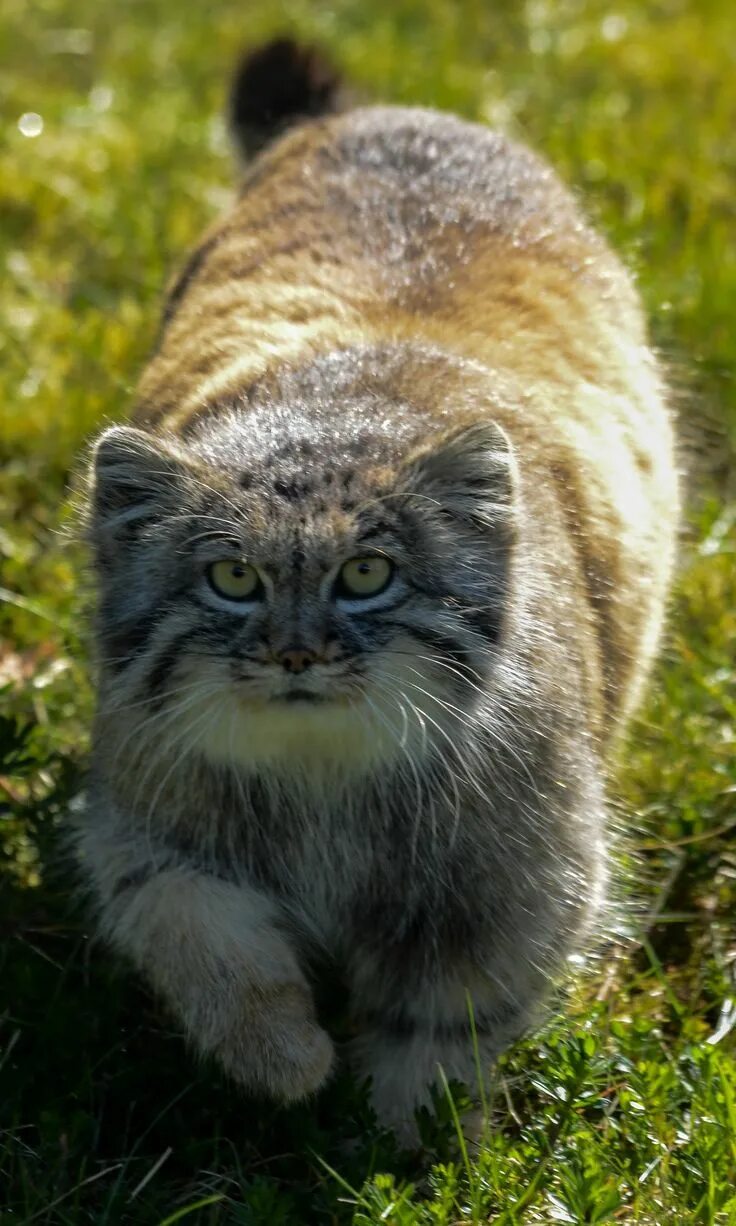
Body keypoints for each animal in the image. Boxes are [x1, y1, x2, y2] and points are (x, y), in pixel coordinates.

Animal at [74, 38, 677, 1137]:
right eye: (232, 578)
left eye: (366, 575)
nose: (297, 652)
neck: (326, 785)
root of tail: (385, 114)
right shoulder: (144, 825)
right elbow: (207, 942)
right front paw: (285, 1061)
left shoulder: (522, 883)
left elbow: (446, 1027)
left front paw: (405, 1137)